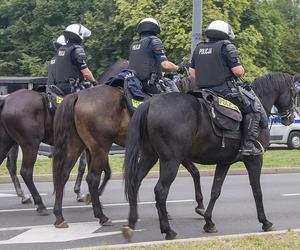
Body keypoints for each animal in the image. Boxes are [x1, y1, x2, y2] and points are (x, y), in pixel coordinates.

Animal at [123, 72, 296, 240]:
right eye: (294, 92)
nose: (291, 117)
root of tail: (150, 103)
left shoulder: (224, 162)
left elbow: (215, 191)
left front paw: (208, 222)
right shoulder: (254, 159)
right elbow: (257, 191)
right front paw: (265, 221)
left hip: (150, 156)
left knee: (135, 182)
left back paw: (131, 224)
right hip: (171, 161)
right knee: (160, 191)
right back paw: (168, 230)